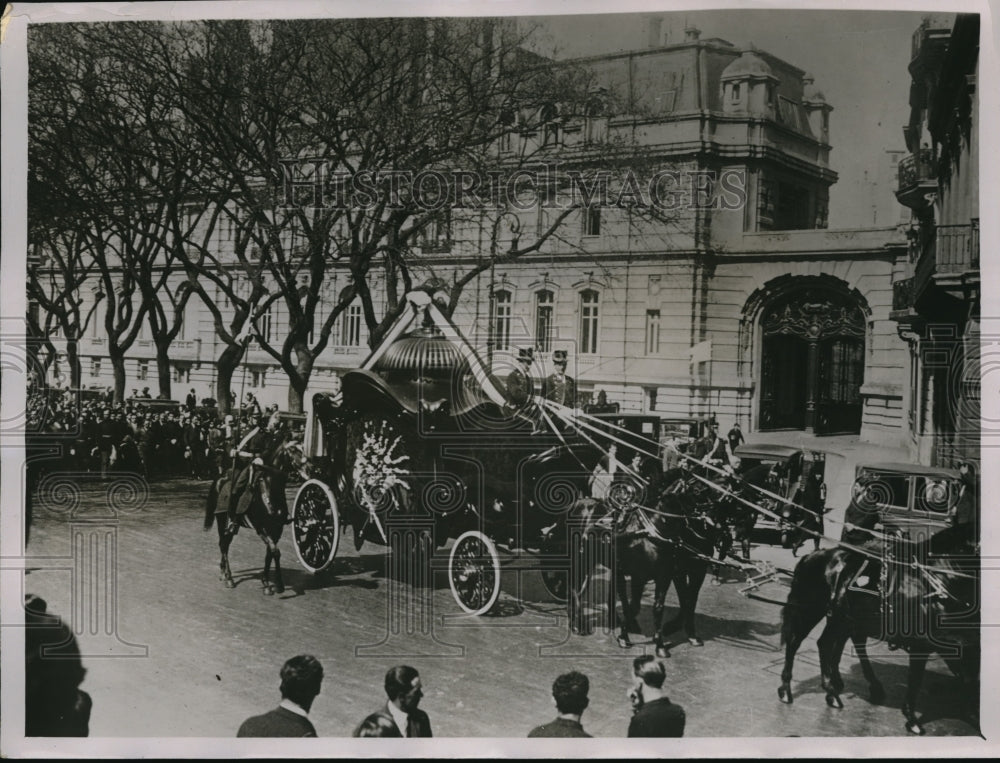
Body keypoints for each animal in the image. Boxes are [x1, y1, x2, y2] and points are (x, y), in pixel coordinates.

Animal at [203, 436, 308, 596]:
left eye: (302, 446)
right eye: (292, 449)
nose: (308, 466)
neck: (269, 491)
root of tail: (219, 479)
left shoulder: (276, 529)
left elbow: (270, 553)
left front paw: (270, 583)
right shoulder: (262, 528)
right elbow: (275, 551)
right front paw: (275, 585)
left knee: (225, 543)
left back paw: (223, 573)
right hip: (222, 520)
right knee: (223, 544)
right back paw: (228, 577)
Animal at [780, 544, 976, 736]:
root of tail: (811, 556)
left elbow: (967, 678)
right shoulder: (922, 645)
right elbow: (916, 680)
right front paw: (912, 719)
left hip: (841, 618)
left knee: (826, 643)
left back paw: (833, 690)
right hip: (813, 610)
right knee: (795, 642)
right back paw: (786, 690)